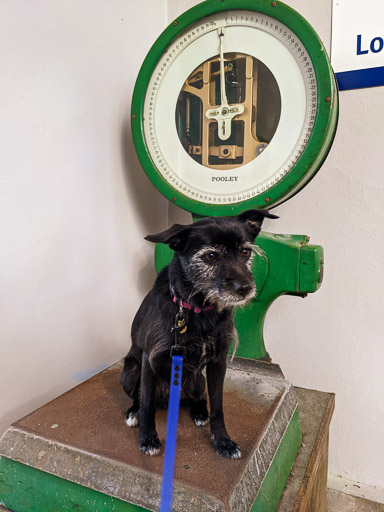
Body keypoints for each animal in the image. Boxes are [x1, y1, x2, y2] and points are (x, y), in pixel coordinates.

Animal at [121, 210, 278, 458]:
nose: (245, 288)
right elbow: (146, 405)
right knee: (142, 398)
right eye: (211, 256)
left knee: (199, 398)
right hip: (130, 371)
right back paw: (133, 412)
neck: (198, 309)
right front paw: (147, 438)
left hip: (197, 380)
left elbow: (218, 405)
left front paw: (223, 440)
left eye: (245, 252)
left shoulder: (218, 362)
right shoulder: (150, 359)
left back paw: (199, 411)